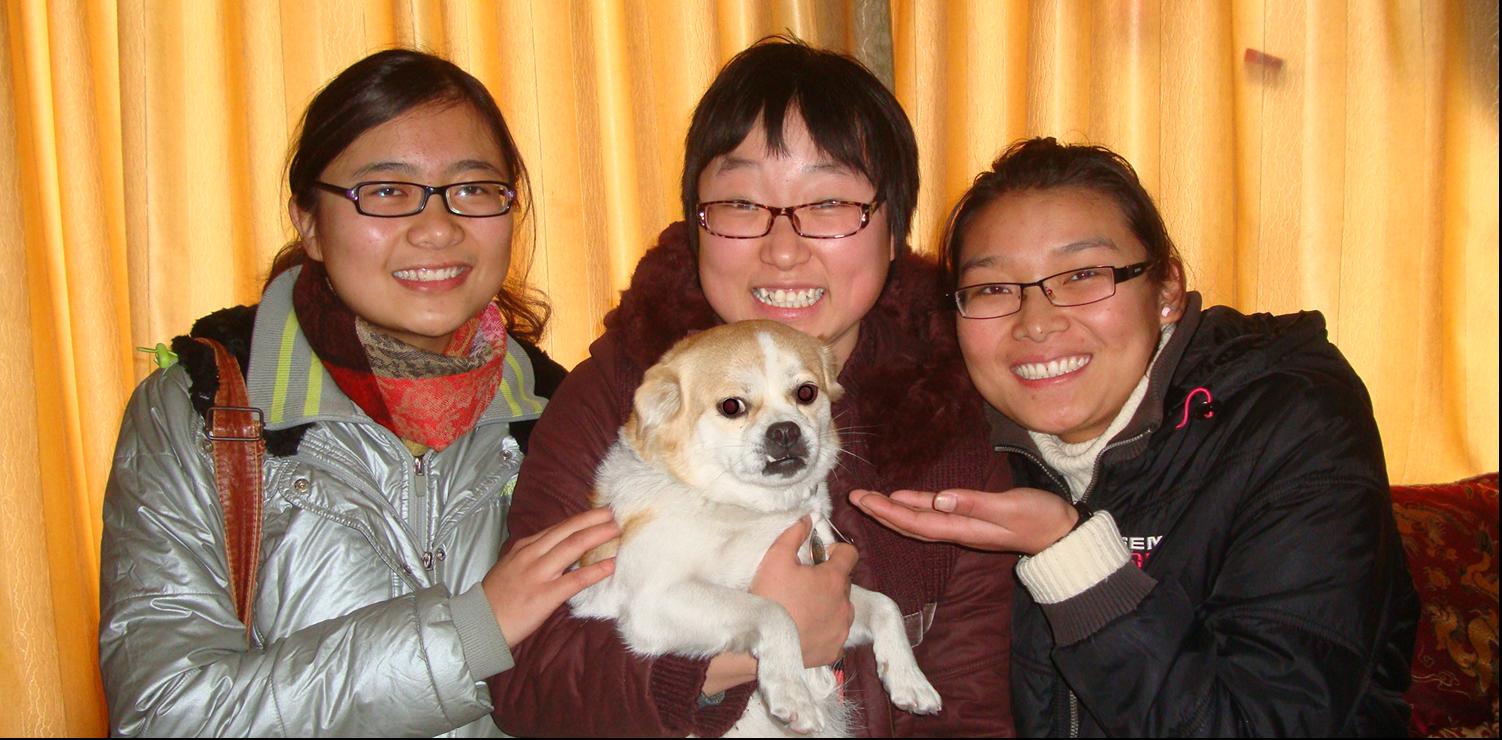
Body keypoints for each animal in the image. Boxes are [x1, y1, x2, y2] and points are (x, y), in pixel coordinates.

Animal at [564, 321, 937, 732]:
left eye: (806, 393)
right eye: (732, 406)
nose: (786, 430)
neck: (754, 507)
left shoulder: (836, 595)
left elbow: (885, 605)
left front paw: (909, 678)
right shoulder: (655, 602)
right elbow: (773, 611)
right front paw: (792, 691)